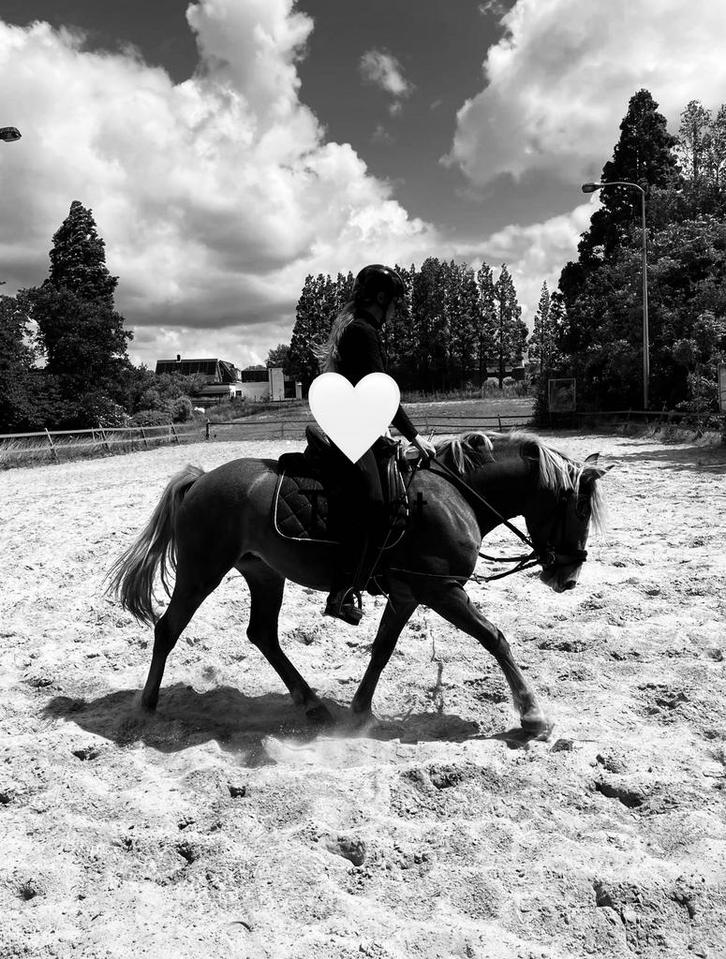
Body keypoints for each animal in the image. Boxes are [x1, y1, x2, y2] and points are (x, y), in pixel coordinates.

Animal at [107, 430, 608, 737]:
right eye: (581, 508)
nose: (568, 577)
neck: (455, 495)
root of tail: (200, 480)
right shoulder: (443, 591)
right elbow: (494, 638)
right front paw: (532, 715)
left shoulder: (409, 594)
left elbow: (383, 648)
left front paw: (360, 711)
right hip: (201, 570)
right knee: (168, 628)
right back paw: (147, 705)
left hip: (264, 573)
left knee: (262, 634)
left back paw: (311, 703)